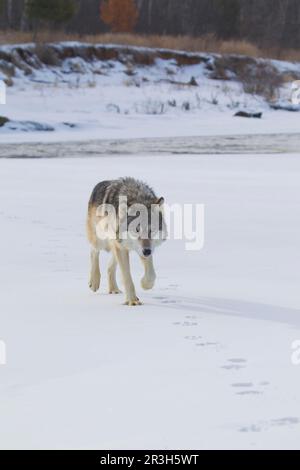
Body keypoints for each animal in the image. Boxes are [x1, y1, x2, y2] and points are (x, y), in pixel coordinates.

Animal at [86, 178, 168, 306]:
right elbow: (127, 276)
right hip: (102, 240)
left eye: (151, 230)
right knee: (93, 252)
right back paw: (94, 281)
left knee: (110, 267)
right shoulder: (125, 247)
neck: (137, 197)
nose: (147, 251)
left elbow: (151, 274)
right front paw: (132, 300)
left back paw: (114, 289)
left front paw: (145, 284)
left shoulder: (143, 248)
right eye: (137, 229)